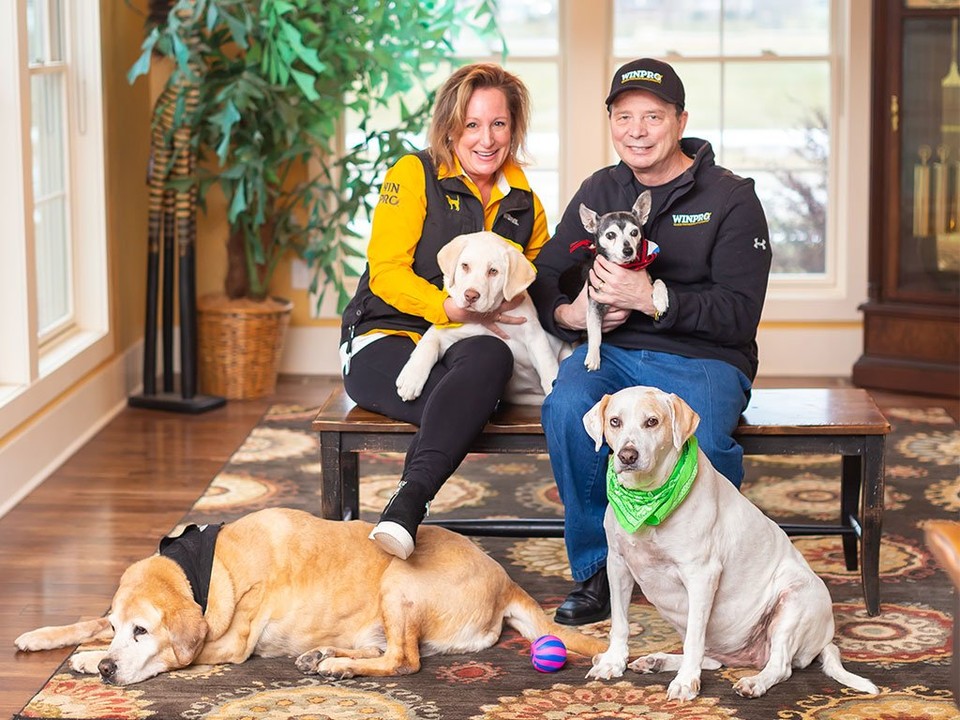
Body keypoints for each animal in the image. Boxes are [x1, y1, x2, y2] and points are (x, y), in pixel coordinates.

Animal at [15, 506, 604, 688]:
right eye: (122, 626)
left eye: (143, 631)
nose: (109, 668)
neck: (201, 571)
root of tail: (505, 578)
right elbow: (86, 622)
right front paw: (48, 637)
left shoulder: (225, 647)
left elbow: (172, 658)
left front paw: (88, 661)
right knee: (389, 651)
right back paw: (324, 656)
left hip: (399, 581)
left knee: (405, 661)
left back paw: (338, 667)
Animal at [394, 233, 568, 408]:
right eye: (465, 266)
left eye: (493, 271)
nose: (470, 296)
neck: (487, 315)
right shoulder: (445, 332)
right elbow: (427, 343)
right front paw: (411, 379)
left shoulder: (534, 336)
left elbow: (547, 368)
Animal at [576, 386, 876, 700]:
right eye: (615, 422)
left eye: (652, 422)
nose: (627, 455)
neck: (647, 499)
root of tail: (825, 637)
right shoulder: (618, 564)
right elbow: (620, 623)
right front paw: (613, 661)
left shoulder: (701, 575)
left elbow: (694, 639)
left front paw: (685, 683)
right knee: (712, 659)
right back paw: (656, 661)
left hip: (793, 601)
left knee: (780, 665)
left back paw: (754, 682)